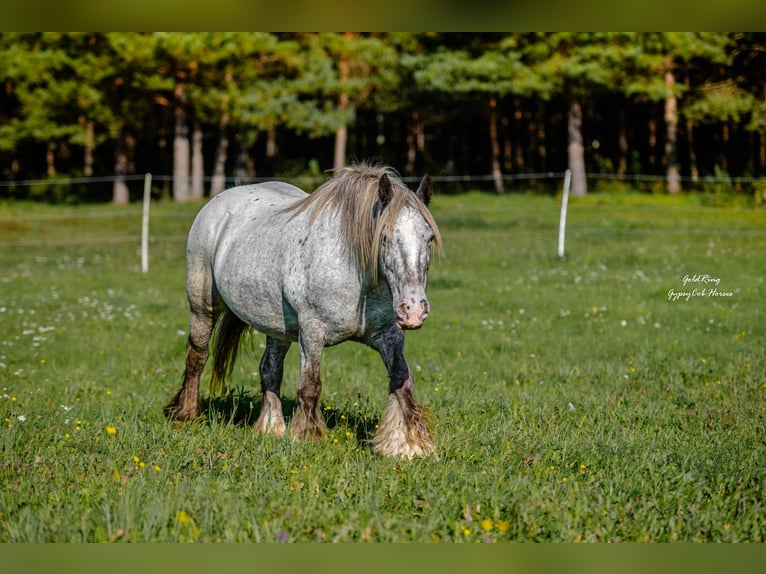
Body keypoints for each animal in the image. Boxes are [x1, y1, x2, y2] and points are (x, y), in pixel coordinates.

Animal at [166, 163, 444, 460]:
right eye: (384, 237)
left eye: (428, 238)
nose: (413, 311)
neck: (356, 273)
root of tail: (220, 200)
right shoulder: (311, 332)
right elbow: (310, 386)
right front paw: (307, 436)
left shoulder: (388, 335)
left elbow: (402, 379)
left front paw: (407, 444)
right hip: (202, 307)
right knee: (197, 356)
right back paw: (185, 414)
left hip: (276, 327)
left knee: (270, 370)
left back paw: (270, 427)